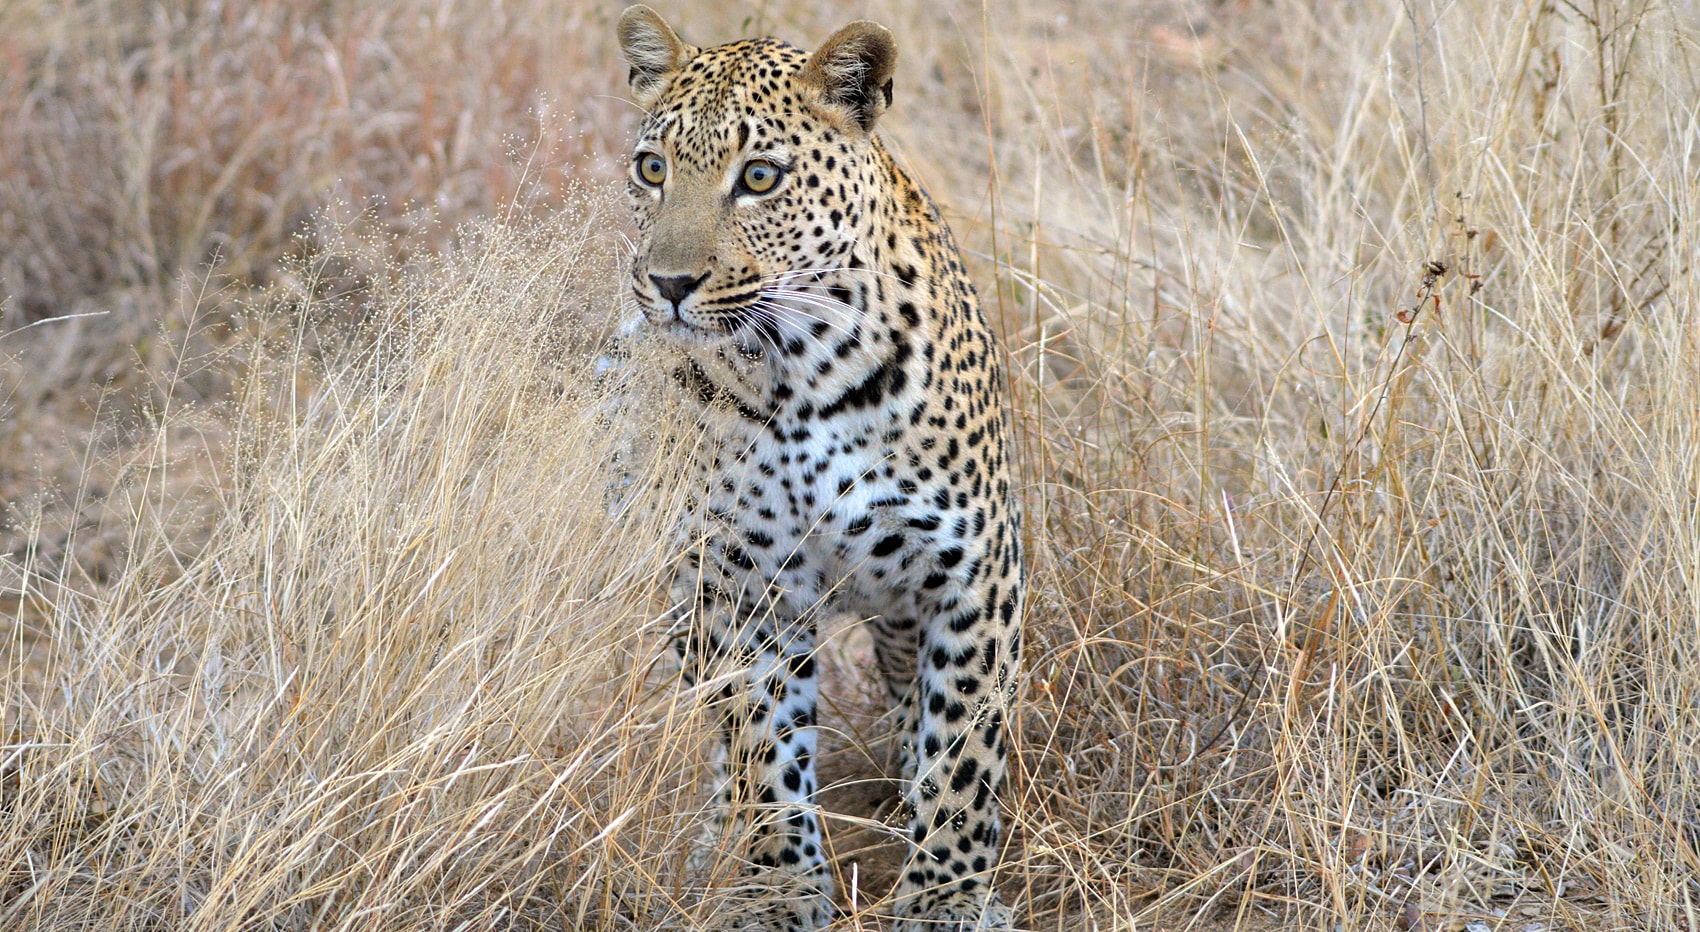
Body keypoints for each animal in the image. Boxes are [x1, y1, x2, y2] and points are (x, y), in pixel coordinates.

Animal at [614, 7, 1023, 929]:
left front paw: (945, 896)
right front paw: (778, 891)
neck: (800, 372)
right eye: (653, 169)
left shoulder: (977, 571)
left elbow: (964, 754)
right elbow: (763, 753)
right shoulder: (739, 584)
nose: (668, 284)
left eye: (759, 177)